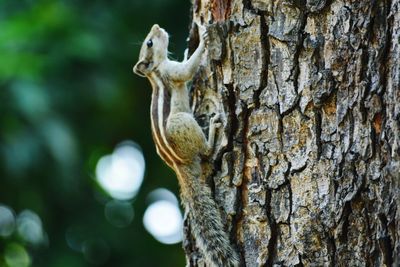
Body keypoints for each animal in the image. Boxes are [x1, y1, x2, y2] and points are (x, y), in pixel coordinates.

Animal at [133, 24, 239, 266]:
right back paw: (213, 130)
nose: (156, 27)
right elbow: (187, 71)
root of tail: (178, 165)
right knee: (207, 151)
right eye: (149, 43)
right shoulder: (173, 72)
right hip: (181, 122)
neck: (155, 72)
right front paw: (202, 41)